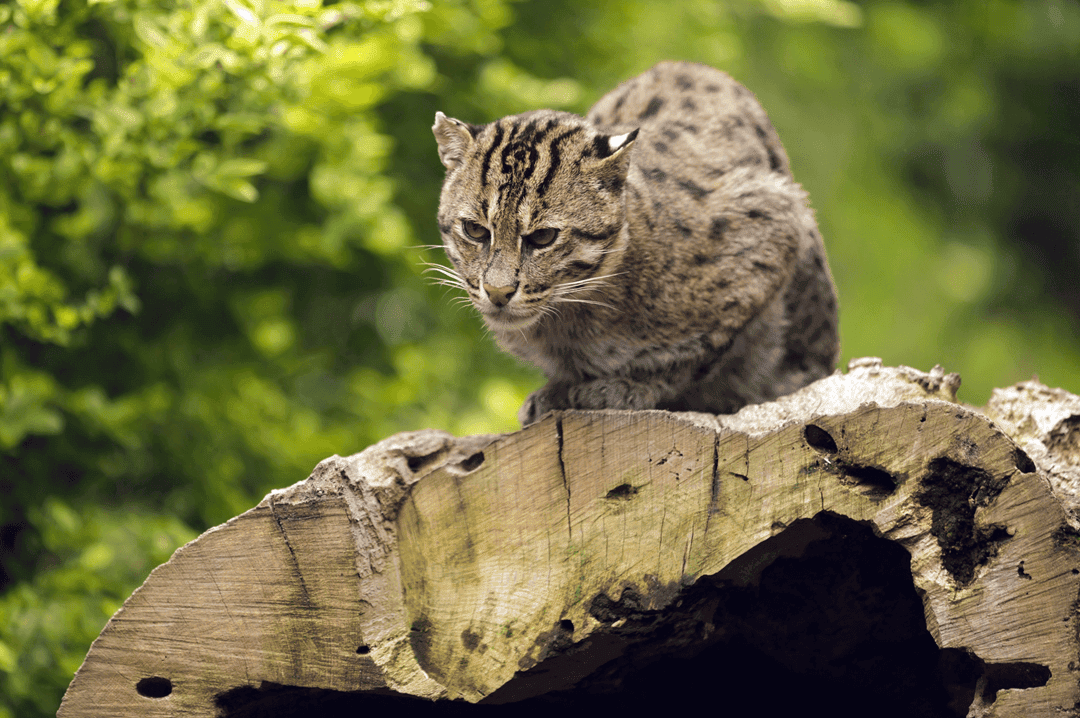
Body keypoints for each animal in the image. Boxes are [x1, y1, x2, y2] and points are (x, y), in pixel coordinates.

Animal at [427, 61, 833, 425]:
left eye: (543, 237)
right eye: (475, 230)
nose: (497, 293)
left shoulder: (774, 223)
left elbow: (697, 354)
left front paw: (625, 388)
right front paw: (557, 391)